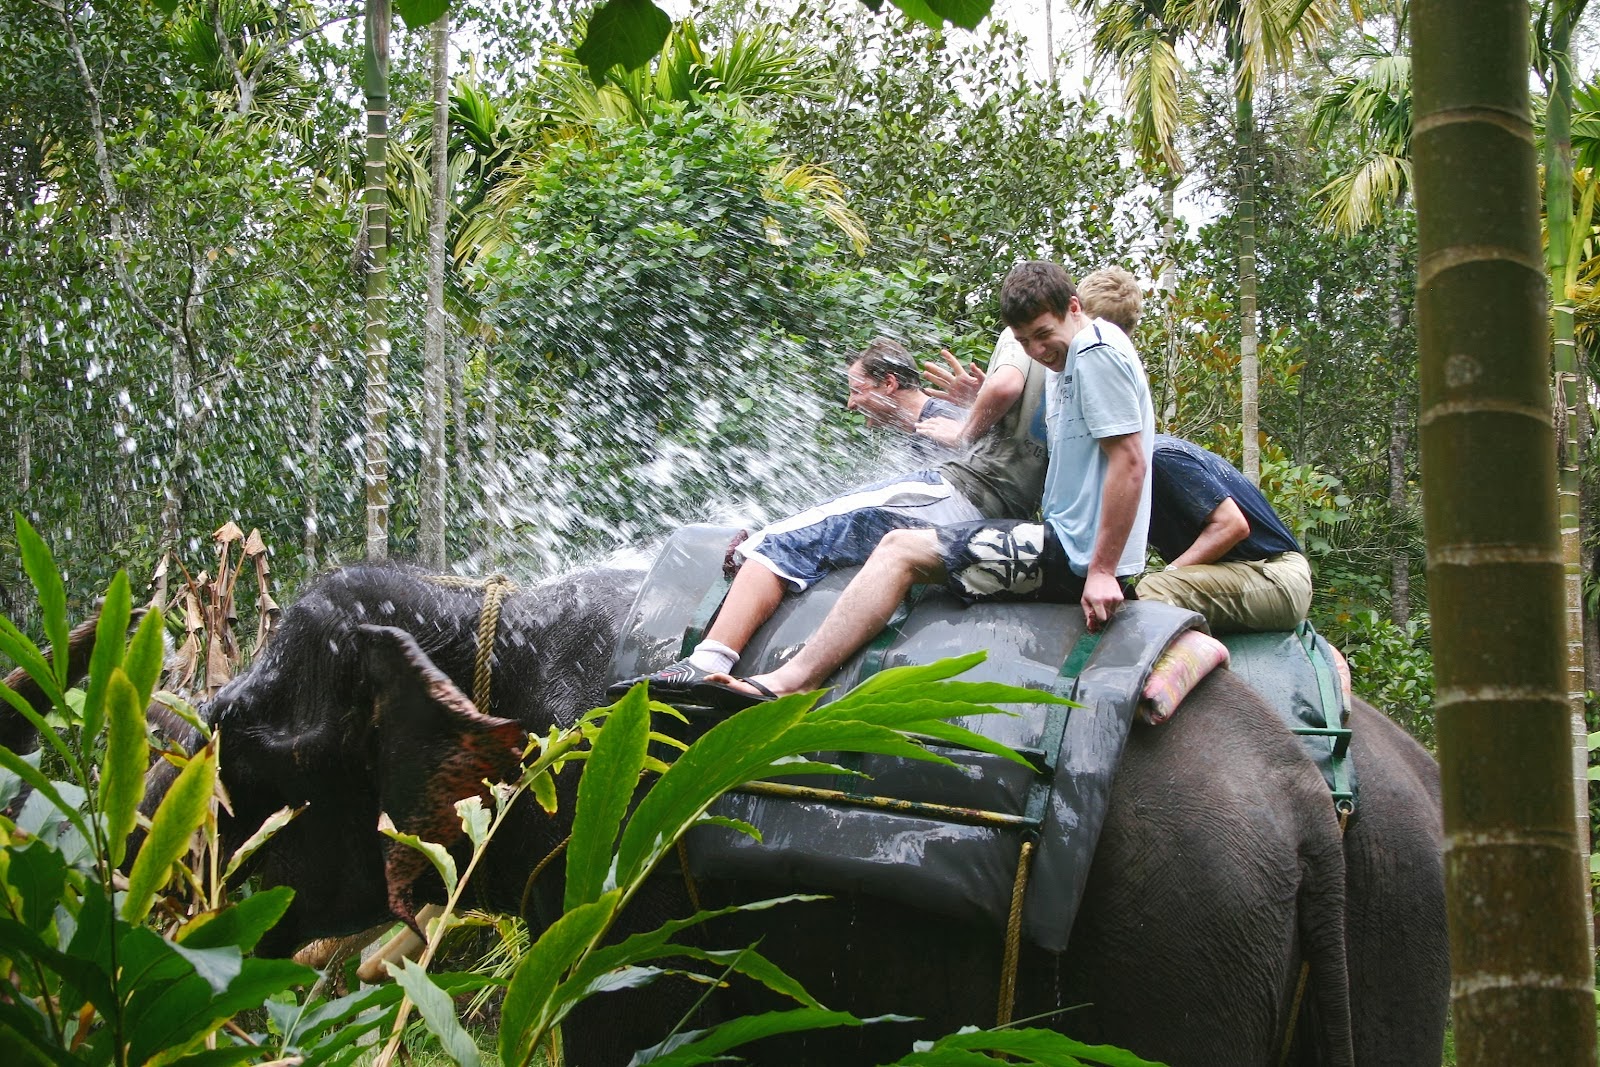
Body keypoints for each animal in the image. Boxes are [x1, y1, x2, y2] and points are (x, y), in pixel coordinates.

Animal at [4, 561, 1448, 1065]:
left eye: (250, 746)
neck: (489, 613)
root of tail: (1298, 800)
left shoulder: (624, 888)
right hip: (1391, 937)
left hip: (1176, 965)